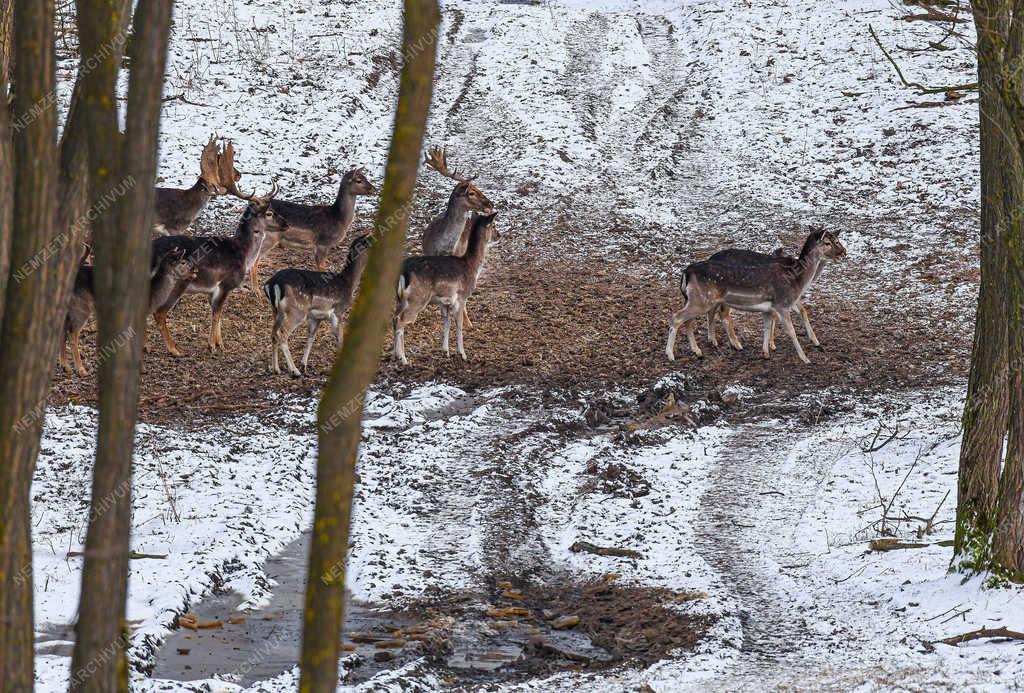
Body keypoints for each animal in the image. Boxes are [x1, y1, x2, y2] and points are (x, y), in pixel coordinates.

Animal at [60, 248, 198, 376]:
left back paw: (66, 366)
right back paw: (81, 370)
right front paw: (142, 369)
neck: (152, 295)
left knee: (63, 330)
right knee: (72, 333)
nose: (195, 270)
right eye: (183, 262)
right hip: (81, 307)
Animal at [148, 181, 286, 354]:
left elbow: (216, 313)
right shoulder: (226, 284)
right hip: (175, 282)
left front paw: (220, 343)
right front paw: (212, 345)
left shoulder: (213, 290)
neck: (243, 254)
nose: (286, 224)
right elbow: (218, 312)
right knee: (159, 313)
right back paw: (173, 349)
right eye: (269, 213)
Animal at [262, 233, 374, 376]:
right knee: (282, 333)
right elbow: (339, 337)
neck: (348, 283)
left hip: (276, 311)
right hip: (297, 311)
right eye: (371, 242)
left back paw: (276, 369)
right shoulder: (338, 311)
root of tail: (271, 284)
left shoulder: (316, 317)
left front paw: (304, 365)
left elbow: (311, 337)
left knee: (273, 332)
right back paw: (294, 370)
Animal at [391, 210, 499, 364]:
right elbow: (459, 324)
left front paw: (446, 351)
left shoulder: (445, 301)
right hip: (417, 299)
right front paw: (463, 354)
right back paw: (403, 359)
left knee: (394, 318)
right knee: (400, 321)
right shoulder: (461, 297)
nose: (499, 235)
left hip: (400, 299)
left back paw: (396, 355)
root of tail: (403, 272)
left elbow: (446, 322)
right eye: (494, 225)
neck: (471, 266)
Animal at [663, 229, 847, 364]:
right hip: (701, 300)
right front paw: (805, 358)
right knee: (677, 317)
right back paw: (671, 355)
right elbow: (791, 331)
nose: (843, 253)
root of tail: (686, 272)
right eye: (828, 242)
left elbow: (766, 326)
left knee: (689, 320)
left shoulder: (769, 308)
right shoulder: (782, 303)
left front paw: (765, 352)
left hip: (697, 299)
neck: (798, 279)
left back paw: (698, 350)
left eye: (836, 240)